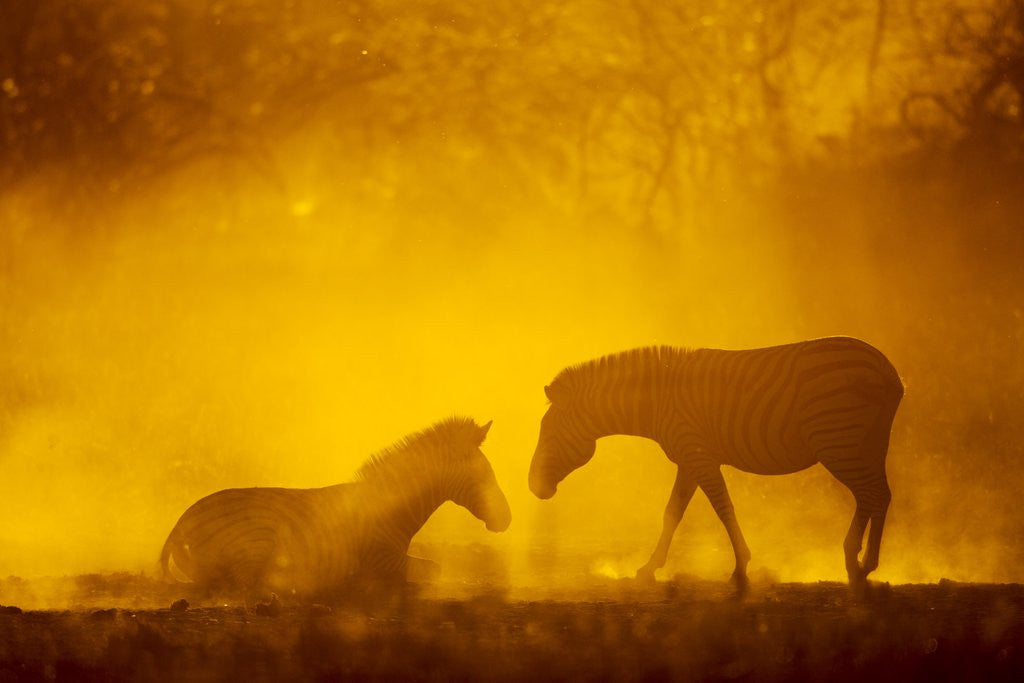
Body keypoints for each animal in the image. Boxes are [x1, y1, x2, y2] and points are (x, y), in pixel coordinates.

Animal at [161, 417, 511, 596]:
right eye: (484, 474)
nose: (507, 519)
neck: (394, 506)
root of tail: (181, 520)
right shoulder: (381, 558)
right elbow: (433, 570)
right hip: (257, 538)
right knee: (243, 584)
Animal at [528, 337, 903, 587]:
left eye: (548, 432)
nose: (533, 487)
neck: (657, 400)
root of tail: (886, 369)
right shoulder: (689, 460)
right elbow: (672, 513)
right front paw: (650, 567)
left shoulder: (699, 456)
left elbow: (723, 508)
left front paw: (740, 567)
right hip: (867, 443)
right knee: (879, 495)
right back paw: (864, 561)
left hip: (839, 442)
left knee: (870, 494)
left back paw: (858, 562)